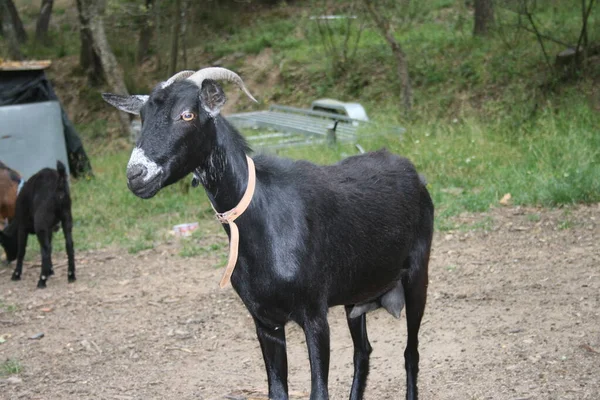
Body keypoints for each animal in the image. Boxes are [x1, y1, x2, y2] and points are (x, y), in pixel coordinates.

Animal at [0, 159, 76, 288]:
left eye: (4, 243)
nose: (9, 259)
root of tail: (59, 183)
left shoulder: (22, 227)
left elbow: (22, 250)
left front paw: (16, 274)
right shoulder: (49, 229)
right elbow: (50, 247)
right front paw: (50, 270)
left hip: (40, 222)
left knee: (45, 249)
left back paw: (42, 280)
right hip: (66, 218)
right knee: (68, 244)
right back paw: (71, 275)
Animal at [102, 67, 432, 398]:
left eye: (187, 114)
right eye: (143, 116)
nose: (136, 175)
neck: (263, 219)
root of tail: (413, 172)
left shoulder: (315, 315)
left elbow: (319, 391)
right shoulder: (264, 322)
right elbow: (276, 390)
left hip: (417, 274)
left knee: (410, 352)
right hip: (357, 293)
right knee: (363, 352)